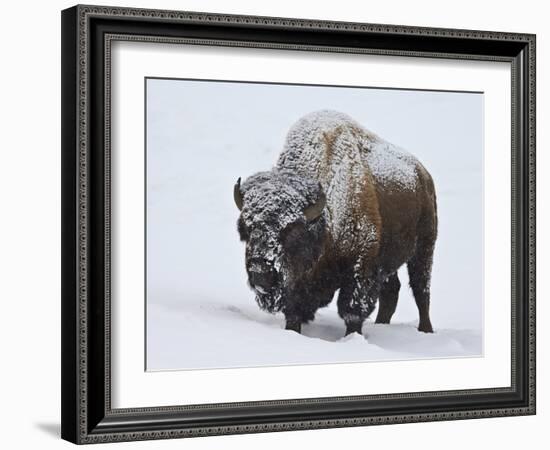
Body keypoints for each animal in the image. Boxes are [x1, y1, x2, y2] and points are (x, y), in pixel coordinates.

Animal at [234, 108, 440, 334]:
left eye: (292, 231)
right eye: (246, 229)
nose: (260, 271)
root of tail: (423, 174)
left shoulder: (360, 265)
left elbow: (352, 310)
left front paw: (353, 336)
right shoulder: (298, 284)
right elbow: (294, 311)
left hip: (424, 248)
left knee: (421, 290)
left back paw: (426, 330)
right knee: (391, 291)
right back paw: (381, 324)